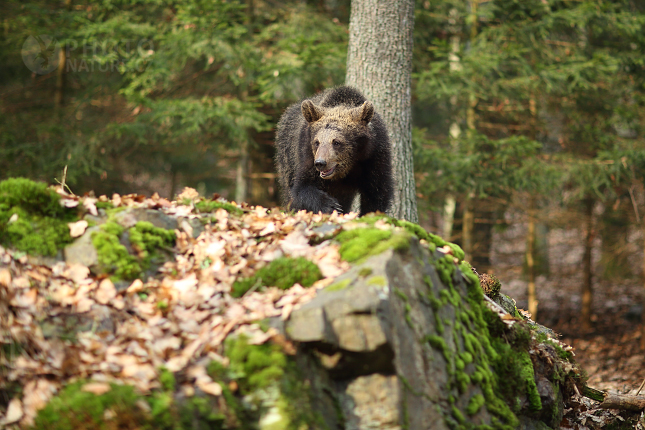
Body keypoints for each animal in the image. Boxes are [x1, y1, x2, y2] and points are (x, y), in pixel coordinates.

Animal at [272, 86, 392, 215]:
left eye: (336, 142)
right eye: (317, 142)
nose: (320, 163)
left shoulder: (375, 154)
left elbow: (377, 193)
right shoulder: (306, 152)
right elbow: (302, 186)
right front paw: (331, 206)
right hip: (287, 157)